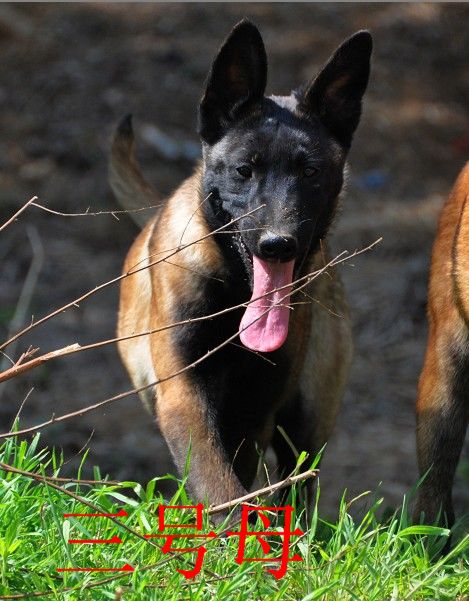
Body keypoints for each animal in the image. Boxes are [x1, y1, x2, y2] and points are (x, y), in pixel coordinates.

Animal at [110, 20, 372, 514]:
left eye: (310, 173)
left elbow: (243, 479)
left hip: (309, 418)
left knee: (297, 480)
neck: (234, 292)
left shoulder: (257, 409)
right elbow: (215, 479)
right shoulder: (183, 394)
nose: (277, 245)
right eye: (243, 171)